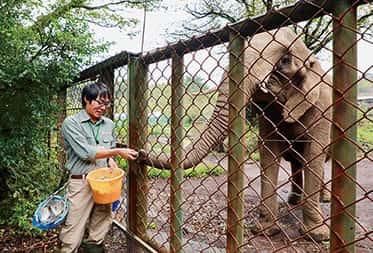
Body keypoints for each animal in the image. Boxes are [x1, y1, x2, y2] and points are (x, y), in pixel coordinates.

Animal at [138, 27, 330, 241]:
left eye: (285, 61)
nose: (140, 152)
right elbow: (268, 152)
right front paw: (264, 231)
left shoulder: (321, 107)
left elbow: (314, 152)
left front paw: (317, 236)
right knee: (297, 161)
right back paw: (295, 201)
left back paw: (323, 199)